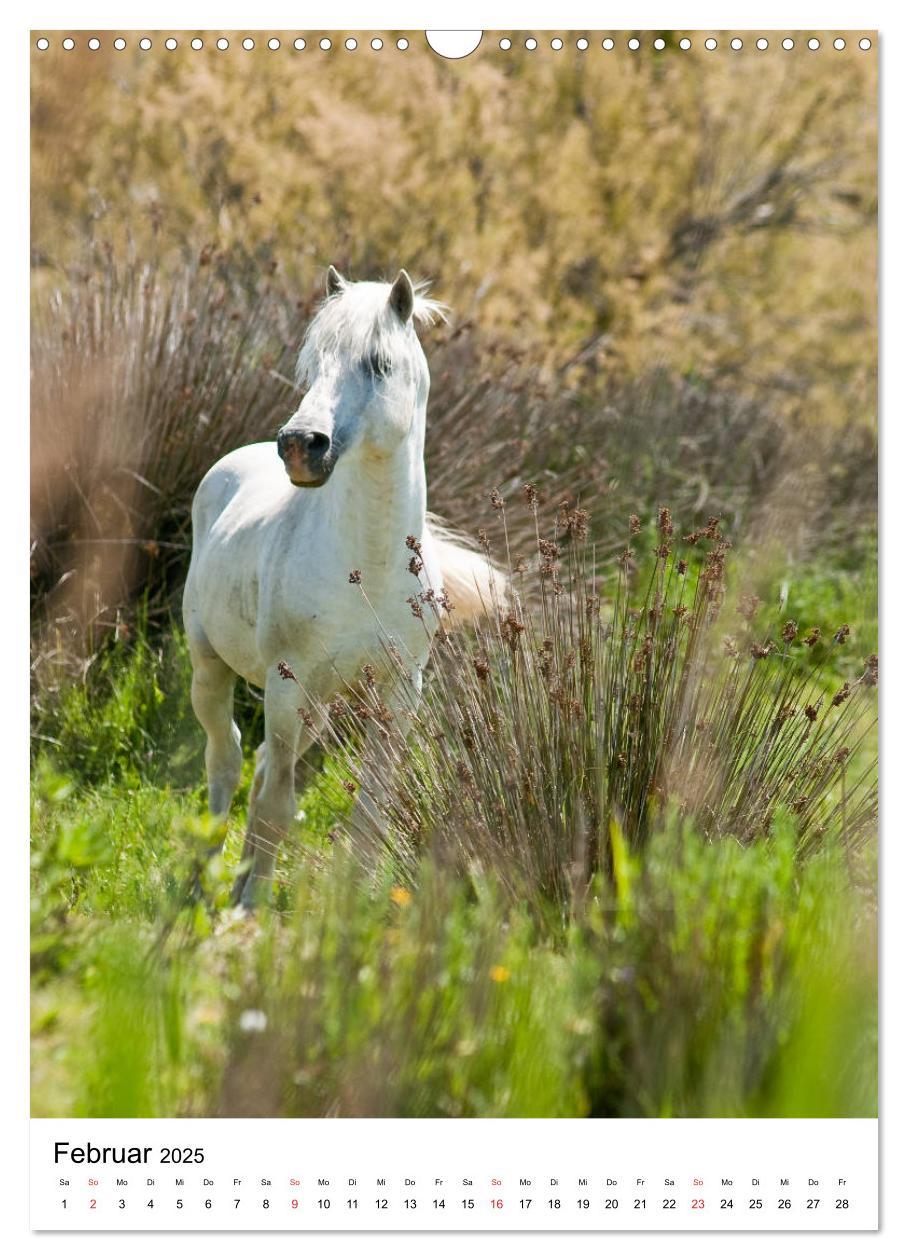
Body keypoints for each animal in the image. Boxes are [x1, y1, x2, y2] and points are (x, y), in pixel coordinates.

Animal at [181, 270, 498, 912]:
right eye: (313, 362)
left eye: (378, 363)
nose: (301, 444)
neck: (367, 571)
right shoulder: (286, 687)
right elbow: (278, 805)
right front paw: (249, 911)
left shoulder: (400, 694)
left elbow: (369, 813)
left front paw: (354, 907)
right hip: (214, 668)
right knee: (226, 760)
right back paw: (203, 884)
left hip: (321, 709)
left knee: (256, 765)